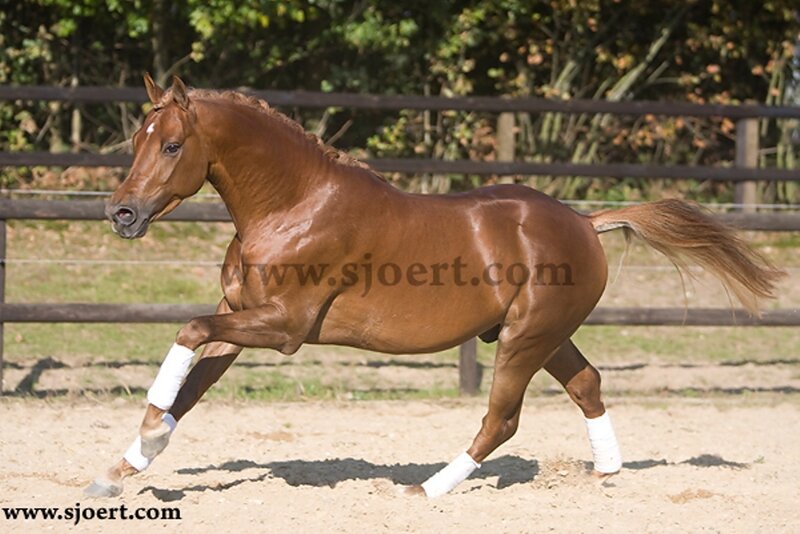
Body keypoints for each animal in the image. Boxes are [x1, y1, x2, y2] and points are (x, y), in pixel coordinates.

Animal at [85, 75, 784, 498]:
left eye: (172, 145)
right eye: (138, 138)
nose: (122, 214)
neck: (293, 206)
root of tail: (586, 222)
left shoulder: (283, 327)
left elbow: (186, 336)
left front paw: (142, 437)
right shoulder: (241, 317)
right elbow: (191, 387)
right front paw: (121, 469)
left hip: (525, 341)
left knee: (502, 418)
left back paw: (429, 488)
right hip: (542, 336)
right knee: (586, 384)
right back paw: (606, 472)